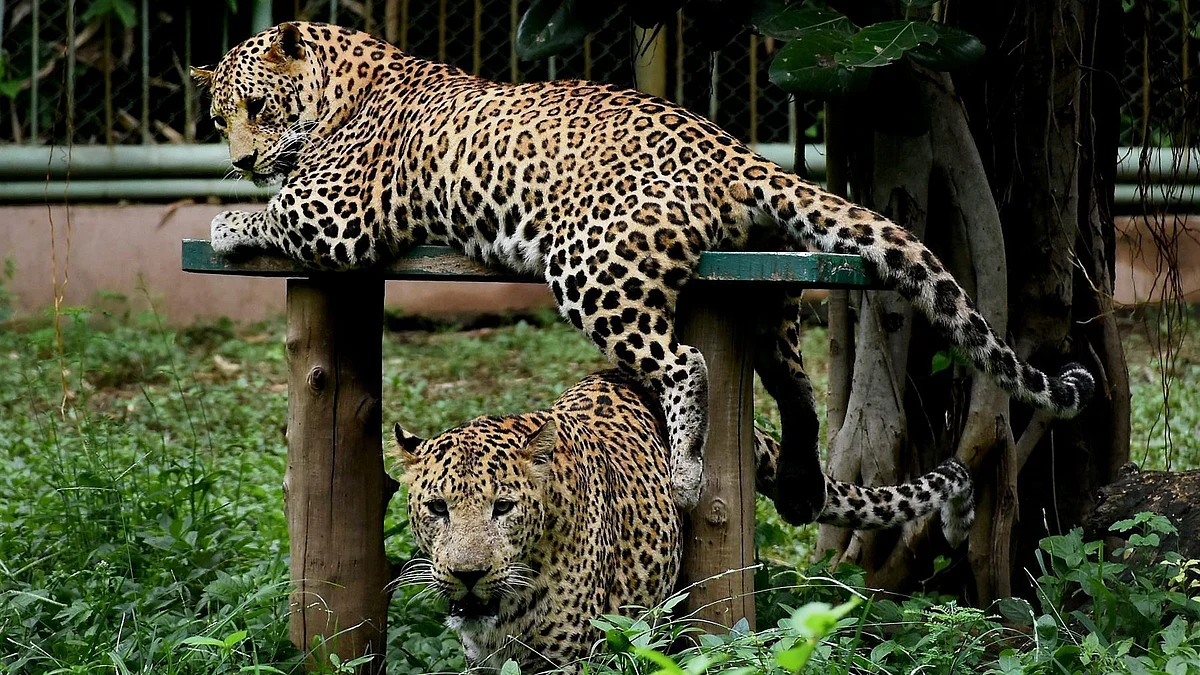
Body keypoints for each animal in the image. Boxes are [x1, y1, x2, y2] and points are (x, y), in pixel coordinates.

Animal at [193, 21, 1094, 520]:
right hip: (770, 287)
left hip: (591, 267)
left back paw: (690, 468)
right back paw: (803, 475)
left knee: (688, 361)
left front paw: (227, 218)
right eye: (217, 115)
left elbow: (277, 211)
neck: (344, 80)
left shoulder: (338, 215)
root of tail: (733, 151)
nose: (238, 161)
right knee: (792, 382)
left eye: (258, 108)